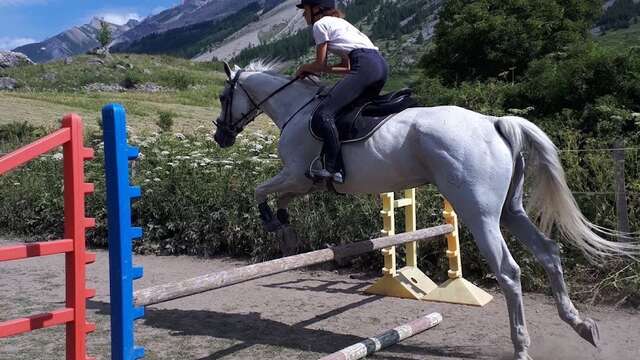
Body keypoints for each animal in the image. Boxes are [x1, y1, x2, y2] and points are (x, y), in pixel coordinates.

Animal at [212, 60, 636, 358]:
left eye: (223, 97)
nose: (221, 136)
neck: (296, 109)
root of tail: (494, 122)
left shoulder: (297, 175)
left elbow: (260, 191)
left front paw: (273, 224)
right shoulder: (303, 183)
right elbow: (279, 199)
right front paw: (285, 231)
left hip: (479, 214)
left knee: (509, 271)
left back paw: (522, 347)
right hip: (508, 210)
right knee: (548, 251)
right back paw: (580, 325)